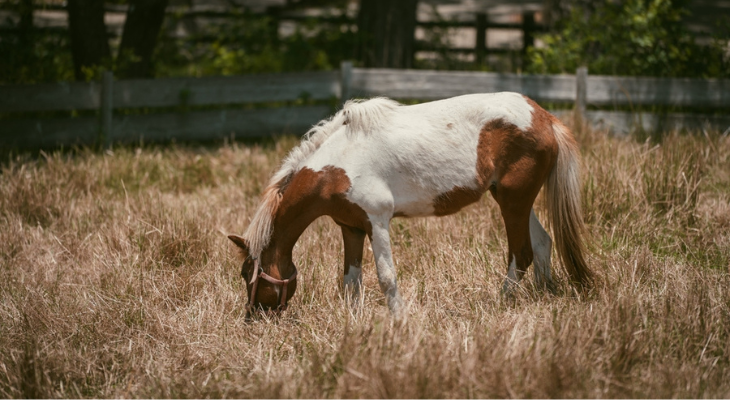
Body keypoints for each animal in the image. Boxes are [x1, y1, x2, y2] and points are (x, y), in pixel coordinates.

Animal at [228, 92, 593, 318]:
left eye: (248, 274)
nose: (254, 317)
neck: (338, 163)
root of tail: (544, 117)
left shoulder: (377, 222)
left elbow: (386, 276)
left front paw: (398, 318)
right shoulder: (351, 227)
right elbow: (351, 281)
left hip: (513, 202)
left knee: (522, 253)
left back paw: (503, 302)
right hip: (514, 200)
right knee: (543, 243)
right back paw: (543, 296)